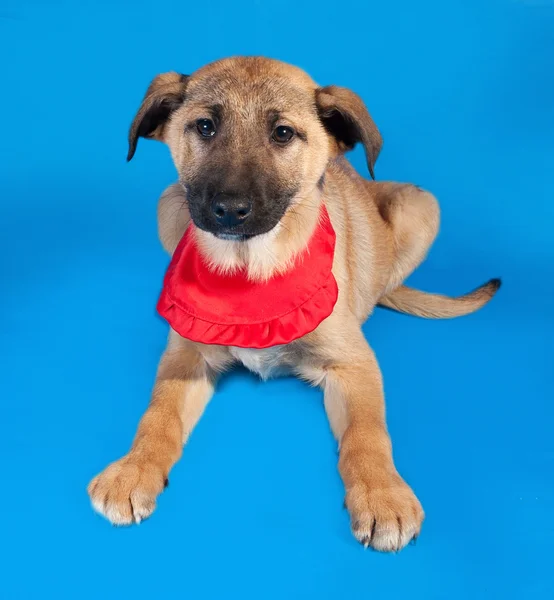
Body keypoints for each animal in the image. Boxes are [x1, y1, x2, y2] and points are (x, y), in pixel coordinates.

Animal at [88, 57, 498, 552]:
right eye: (204, 126)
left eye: (283, 133)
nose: (229, 209)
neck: (250, 273)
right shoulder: (186, 356)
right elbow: (157, 414)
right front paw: (133, 469)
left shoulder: (353, 364)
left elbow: (368, 432)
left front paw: (383, 495)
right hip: (169, 204)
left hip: (422, 204)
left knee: (386, 281)